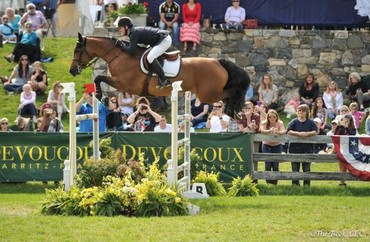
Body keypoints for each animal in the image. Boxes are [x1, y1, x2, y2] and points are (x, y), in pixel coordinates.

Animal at [68, 32, 251, 117]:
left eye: (77, 50)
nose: (72, 70)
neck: (119, 56)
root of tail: (218, 61)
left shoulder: (123, 83)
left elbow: (99, 78)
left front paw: (101, 96)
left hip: (208, 94)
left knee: (233, 92)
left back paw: (232, 109)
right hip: (211, 93)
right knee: (229, 95)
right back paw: (231, 111)